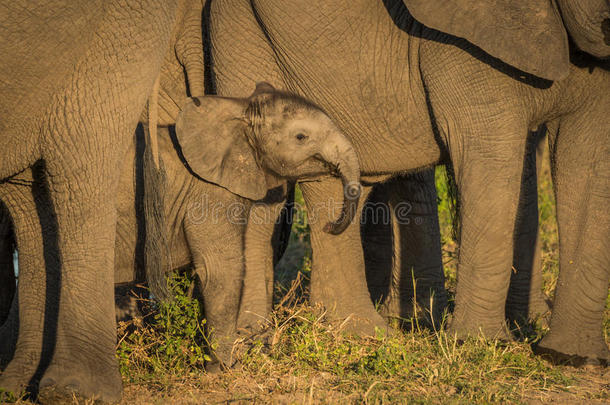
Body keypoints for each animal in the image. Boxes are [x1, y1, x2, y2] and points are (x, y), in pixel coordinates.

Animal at [207, 0, 604, 362]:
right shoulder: (463, 47)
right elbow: (491, 154)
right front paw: (482, 345)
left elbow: (589, 163)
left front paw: (573, 357)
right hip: (241, 35)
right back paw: (254, 337)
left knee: (331, 179)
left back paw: (361, 333)